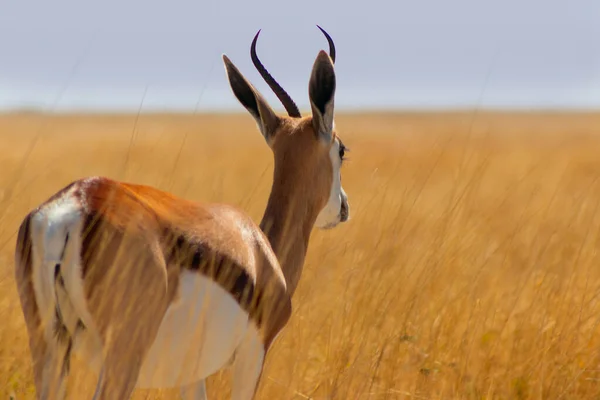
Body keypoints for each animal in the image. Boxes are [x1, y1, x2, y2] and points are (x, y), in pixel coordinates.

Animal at [14, 26, 350, 398]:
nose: (343, 207)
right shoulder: (253, 355)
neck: (260, 251)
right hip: (121, 359)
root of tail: (74, 205)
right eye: (342, 149)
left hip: (50, 349)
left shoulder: (191, 375)